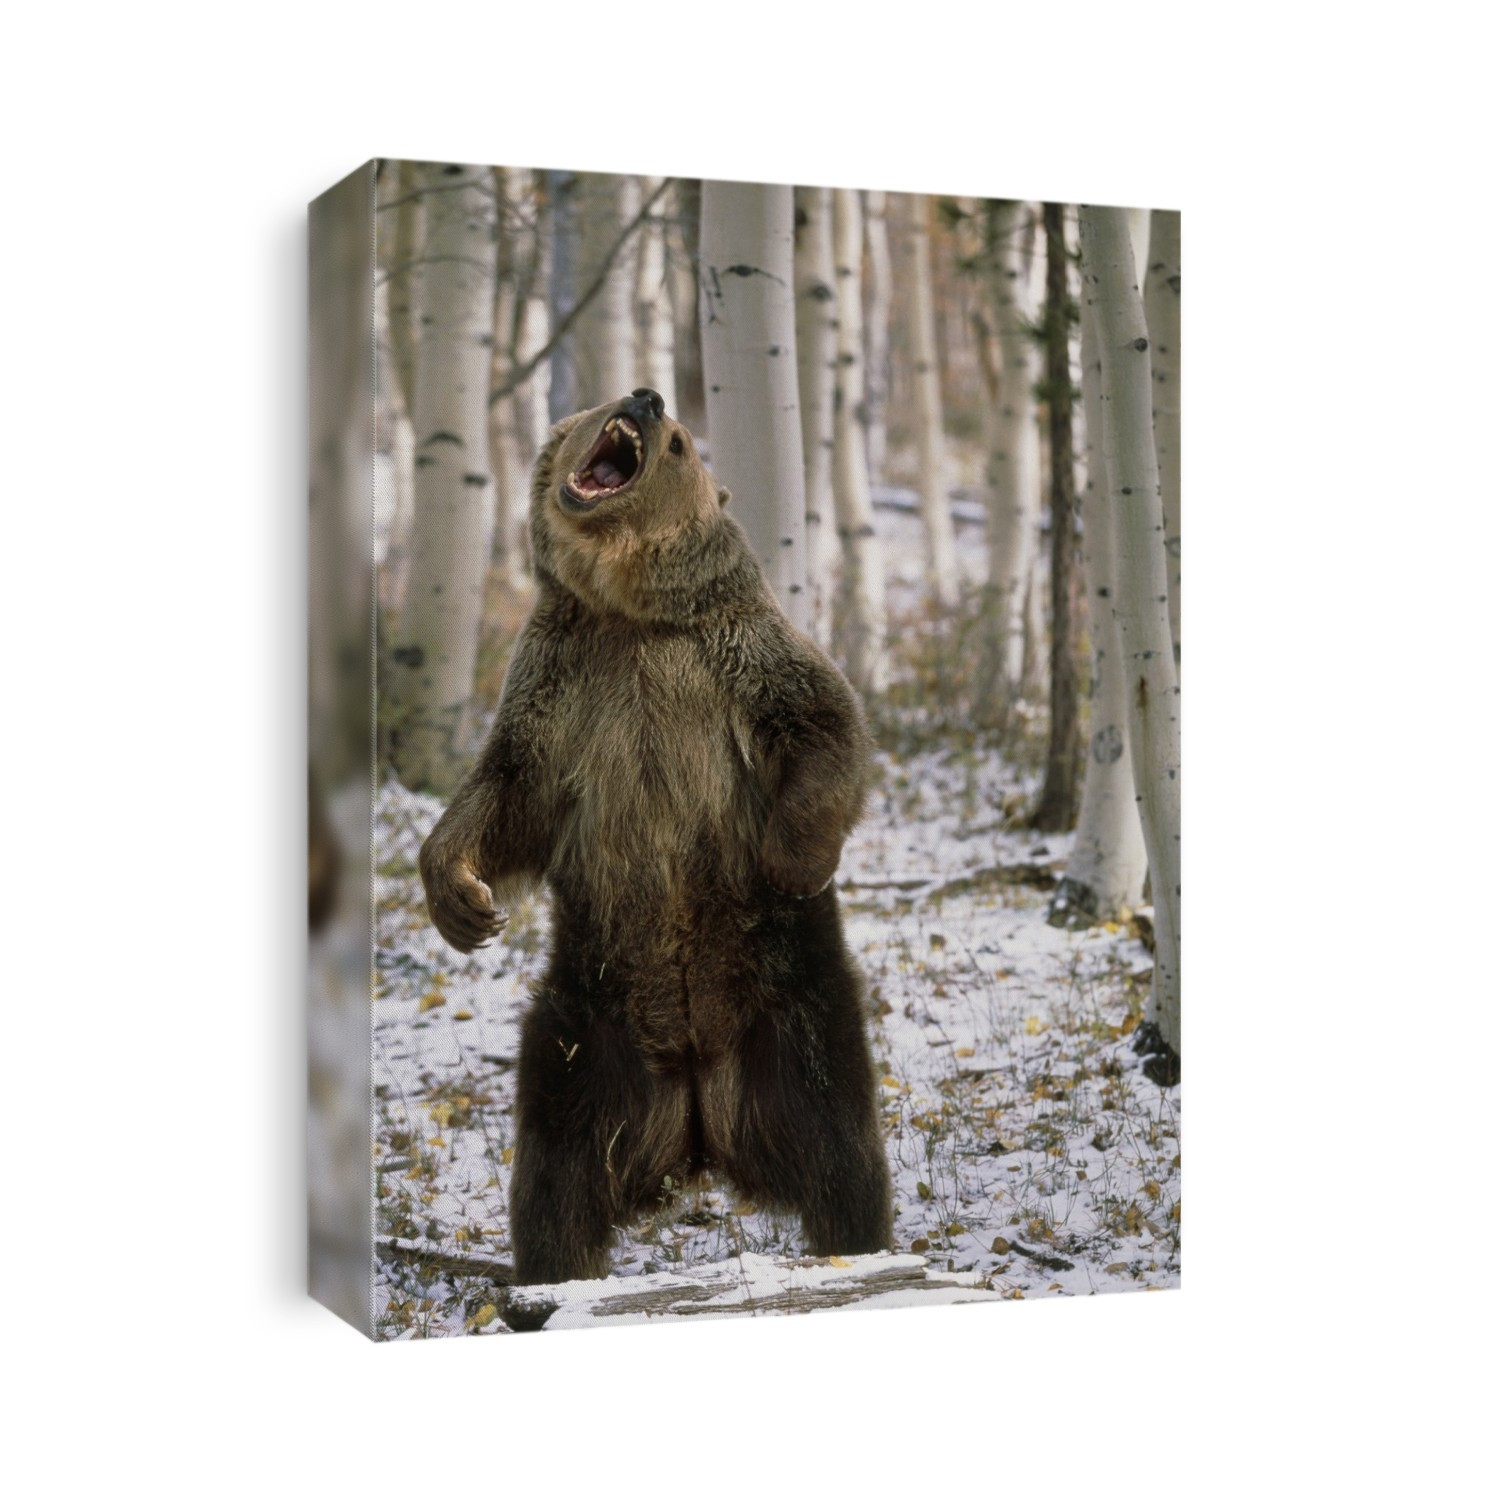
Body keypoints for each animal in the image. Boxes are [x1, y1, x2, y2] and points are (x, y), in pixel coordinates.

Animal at [419, 387, 892, 1285]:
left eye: (678, 443)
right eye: (593, 403)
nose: (646, 395)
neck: (629, 609)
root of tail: (699, 1117)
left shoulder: (734, 653)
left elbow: (825, 722)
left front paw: (791, 858)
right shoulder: (560, 683)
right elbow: (505, 790)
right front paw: (462, 902)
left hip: (794, 1012)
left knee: (842, 1155)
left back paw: (862, 1246)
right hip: (584, 1037)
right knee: (555, 1181)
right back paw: (545, 1280)